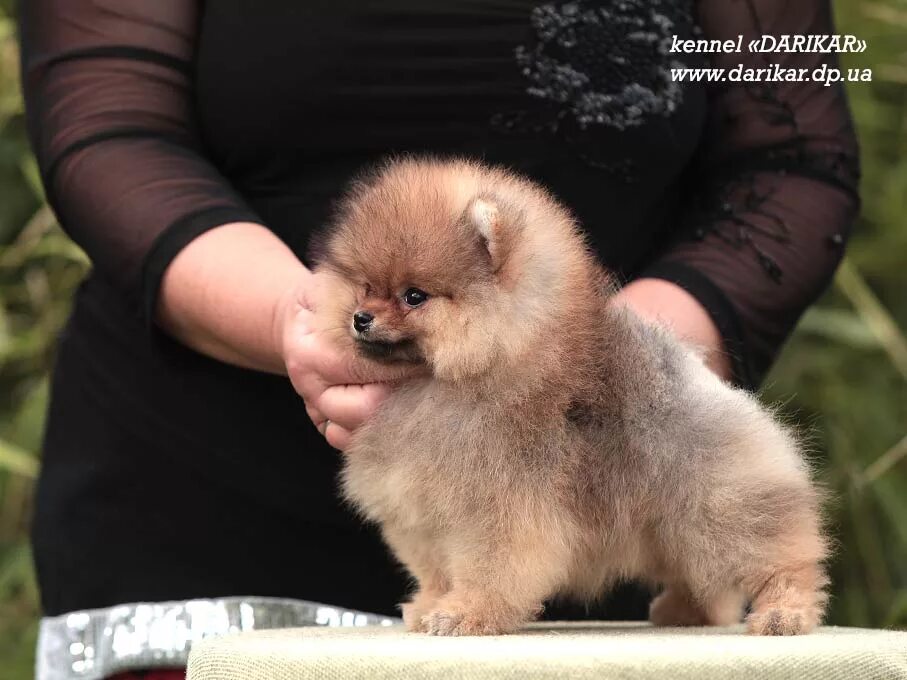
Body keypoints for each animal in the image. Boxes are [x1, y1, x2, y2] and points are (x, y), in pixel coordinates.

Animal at [312, 157, 828, 636]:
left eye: (414, 296)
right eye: (365, 286)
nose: (360, 318)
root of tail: (705, 384)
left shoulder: (502, 507)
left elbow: (488, 568)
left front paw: (465, 614)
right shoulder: (422, 517)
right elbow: (437, 571)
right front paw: (429, 607)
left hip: (723, 504)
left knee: (779, 558)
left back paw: (784, 613)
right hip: (676, 526)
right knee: (703, 576)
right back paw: (687, 612)